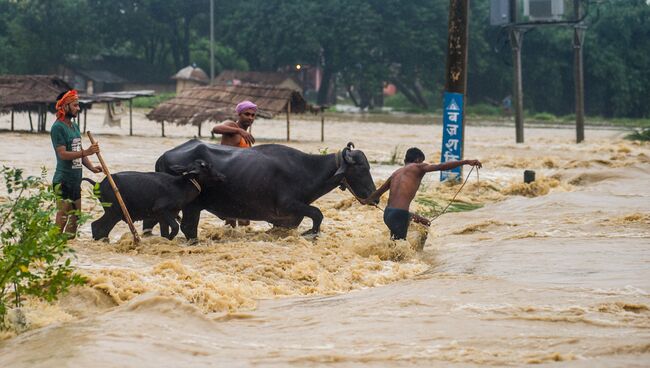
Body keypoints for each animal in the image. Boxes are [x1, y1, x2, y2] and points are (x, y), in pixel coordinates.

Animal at [83, 159, 225, 240]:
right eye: (208, 167)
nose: (222, 176)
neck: (180, 186)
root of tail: (98, 183)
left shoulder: (164, 217)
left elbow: (165, 232)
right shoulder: (162, 210)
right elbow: (175, 227)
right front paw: (171, 238)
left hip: (113, 213)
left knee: (100, 228)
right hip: (114, 212)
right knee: (97, 226)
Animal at [142, 139, 374, 240]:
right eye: (362, 168)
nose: (374, 197)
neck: (307, 169)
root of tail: (164, 156)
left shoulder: (286, 218)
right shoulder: (288, 205)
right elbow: (317, 214)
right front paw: (312, 233)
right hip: (191, 206)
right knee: (186, 227)